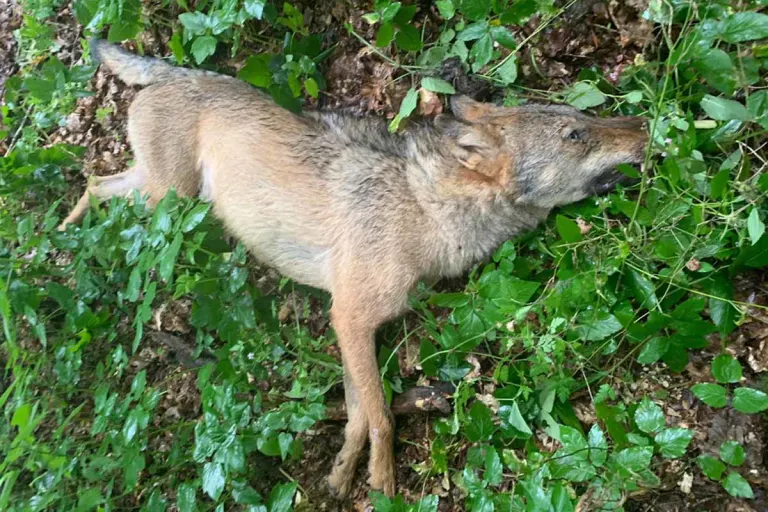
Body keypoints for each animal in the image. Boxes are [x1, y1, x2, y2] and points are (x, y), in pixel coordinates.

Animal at [60, 39, 648, 499]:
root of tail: (183, 71)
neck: (424, 210)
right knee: (101, 188)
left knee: (95, 182)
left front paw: (343, 473)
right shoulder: (351, 317)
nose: (645, 124)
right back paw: (64, 249)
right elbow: (383, 416)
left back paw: (64, 241)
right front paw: (383, 481)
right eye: (575, 134)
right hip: (169, 202)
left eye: (586, 118)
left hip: (161, 196)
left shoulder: (353, 325)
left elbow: (359, 412)